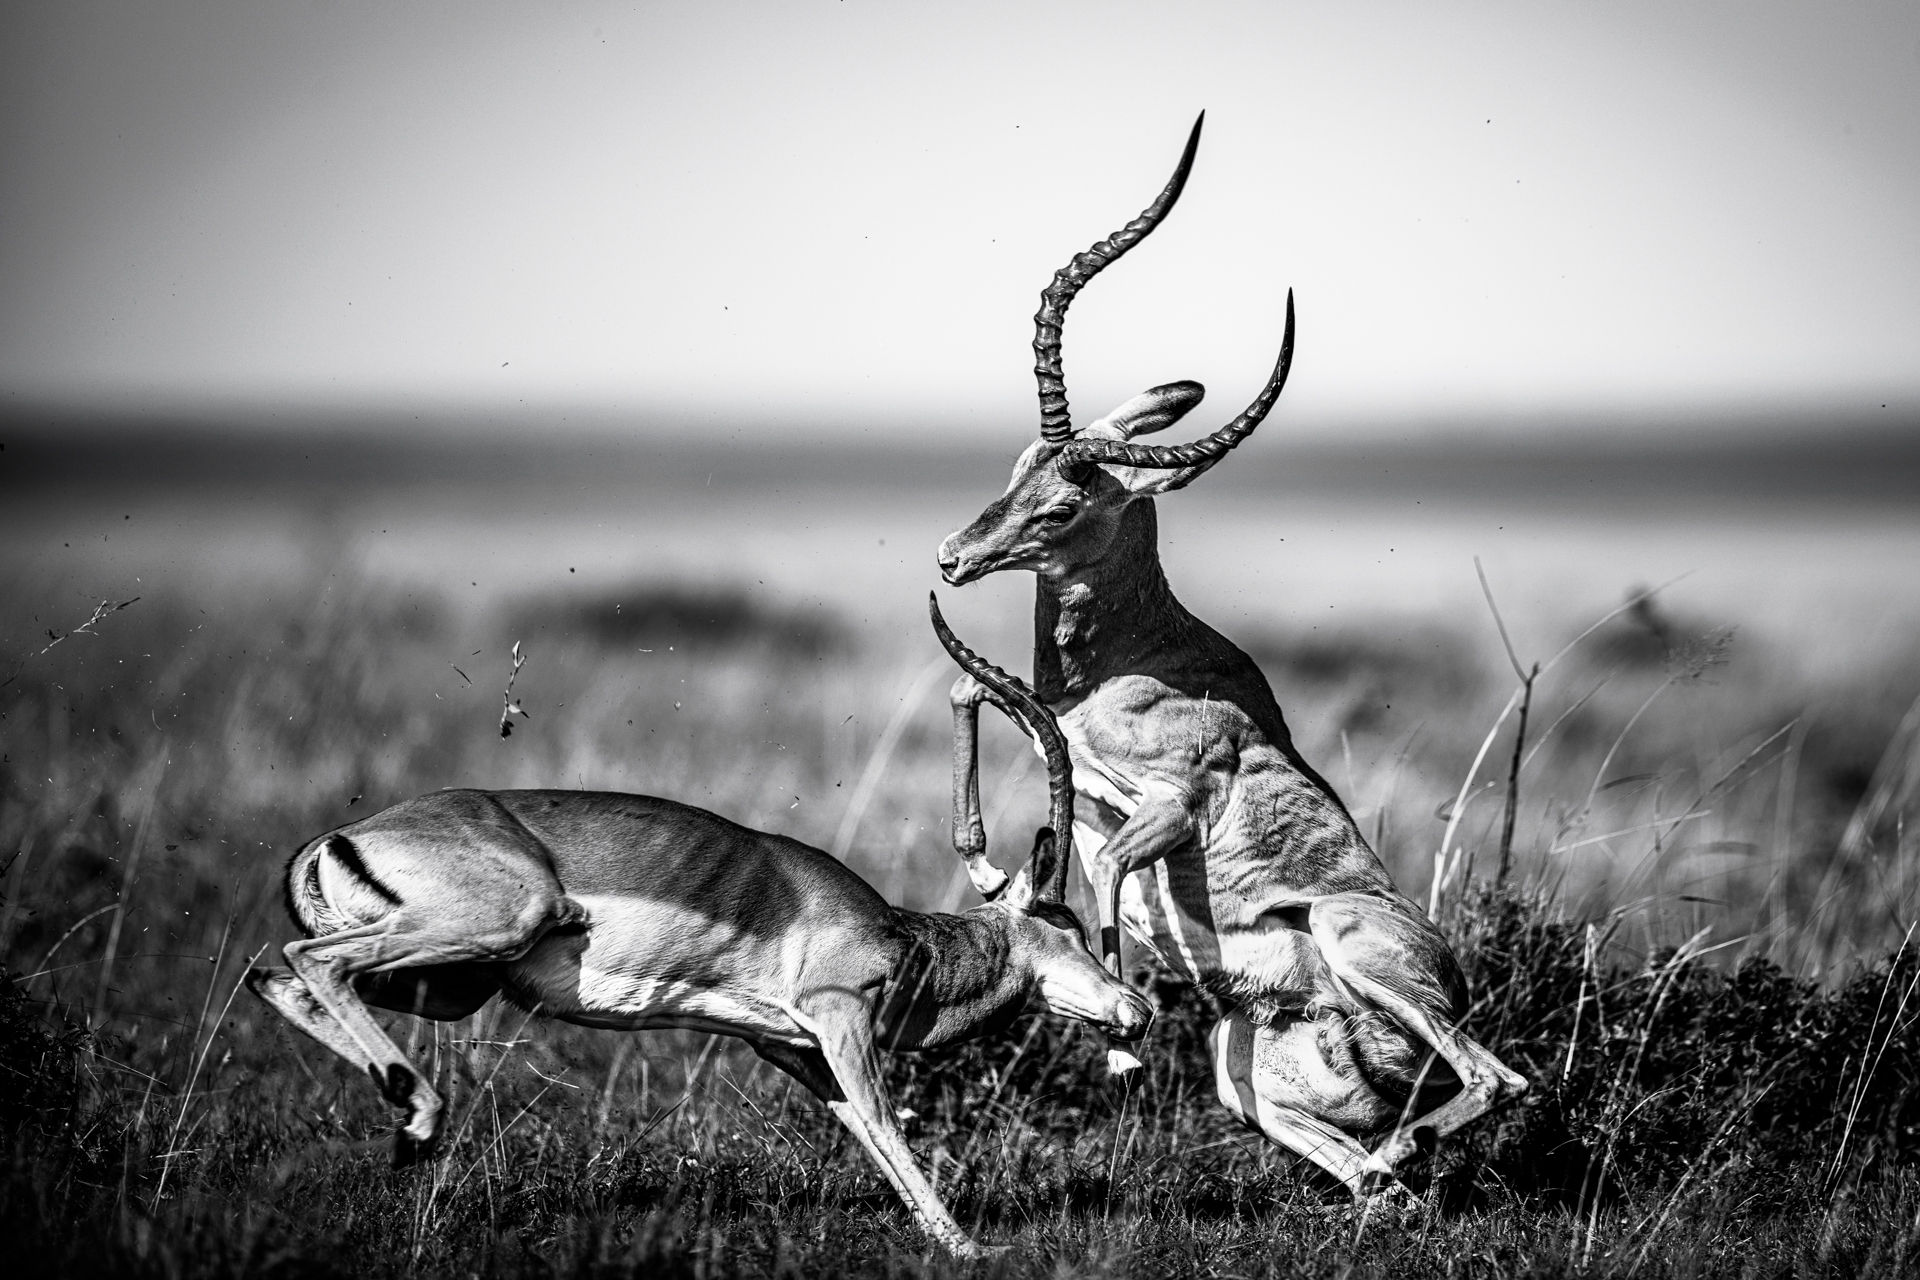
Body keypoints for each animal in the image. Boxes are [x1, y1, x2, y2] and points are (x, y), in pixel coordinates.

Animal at [245, 604, 1149, 1259]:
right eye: (1066, 923)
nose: (1136, 1009)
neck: (908, 945)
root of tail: (341, 837)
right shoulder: (841, 1017)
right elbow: (892, 1127)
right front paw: (974, 1250)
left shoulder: (792, 1047)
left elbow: (870, 1136)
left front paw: (949, 1242)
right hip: (492, 932)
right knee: (307, 960)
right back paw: (422, 1121)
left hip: (452, 985)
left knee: (280, 977)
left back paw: (407, 1122)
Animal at [937, 114, 1526, 1202]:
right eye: (1017, 465)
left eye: (1065, 503)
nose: (954, 557)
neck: (1126, 667)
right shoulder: (1064, 746)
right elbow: (969, 693)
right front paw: (995, 872)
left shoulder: (1173, 805)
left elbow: (1109, 861)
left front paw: (1119, 1039)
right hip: (1241, 1066)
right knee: (1378, 1187)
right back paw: (1390, 1169)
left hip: (1354, 948)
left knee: (1498, 1076)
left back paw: (1407, 1139)